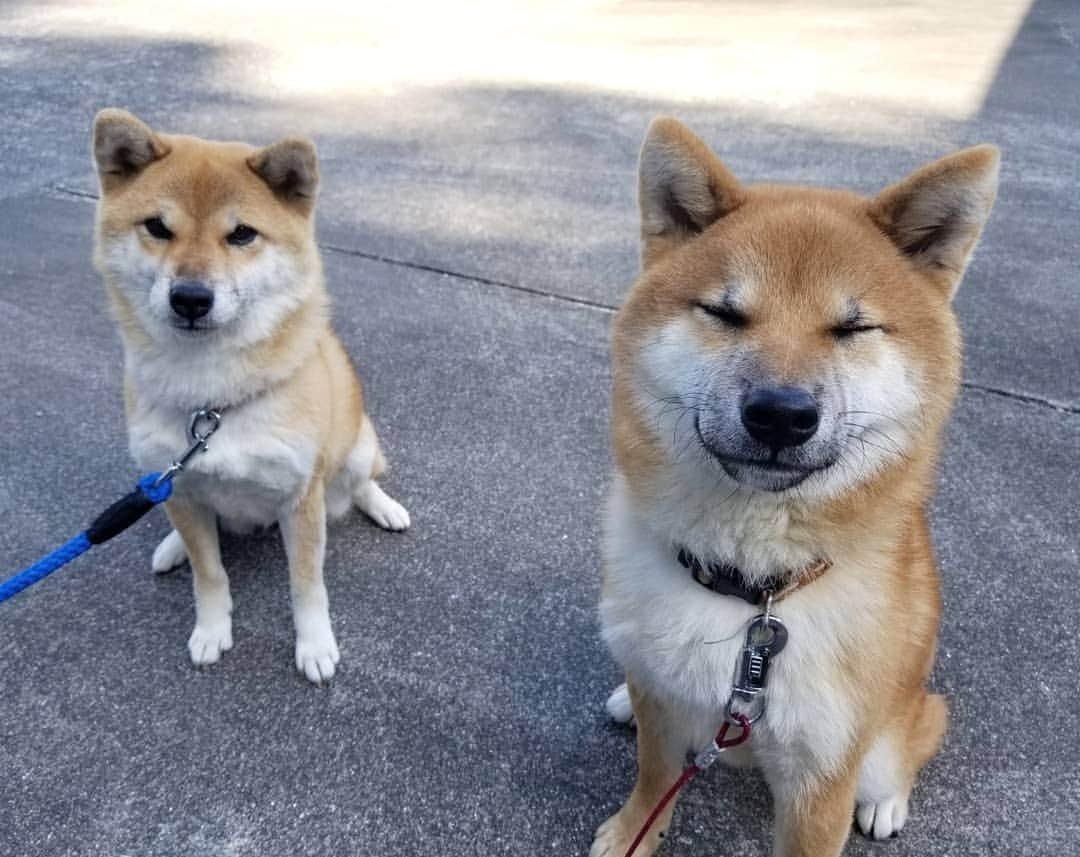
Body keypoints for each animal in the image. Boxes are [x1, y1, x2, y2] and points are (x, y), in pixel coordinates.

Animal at [90, 108, 410, 682]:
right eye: (157, 228)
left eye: (241, 234)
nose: (191, 298)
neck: (212, 402)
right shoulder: (181, 488)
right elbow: (209, 573)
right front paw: (211, 629)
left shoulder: (301, 498)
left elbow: (307, 585)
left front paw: (315, 644)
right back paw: (171, 546)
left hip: (357, 447)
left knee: (361, 480)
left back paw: (384, 506)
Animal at [596, 117, 997, 850]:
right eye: (724, 313)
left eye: (852, 327)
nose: (781, 413)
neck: (754, 593)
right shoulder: (664, 709)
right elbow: (653, 773)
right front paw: (634, 831)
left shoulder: (821, 779)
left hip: (892, 731)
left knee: (916, 740)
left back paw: (887, 799)